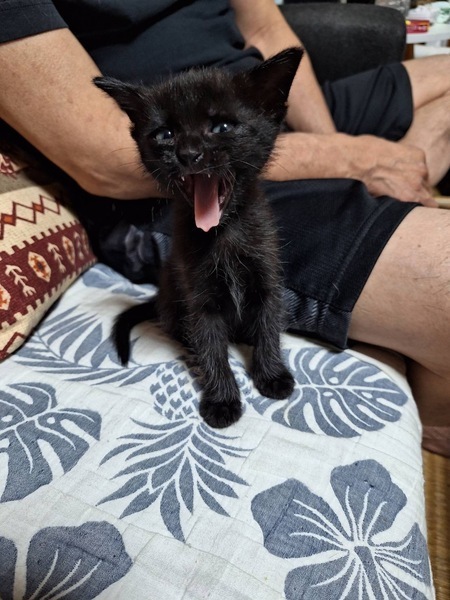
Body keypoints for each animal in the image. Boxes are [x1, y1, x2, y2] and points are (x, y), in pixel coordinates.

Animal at [94, 47, 303, 428]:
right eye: (165, 134)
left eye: (221, 127)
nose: (189, 154)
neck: (223, 233)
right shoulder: (199, 297)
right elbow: (211, 347)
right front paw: (222, 400)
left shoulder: (267, 276)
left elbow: (268, 326)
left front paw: (271, 375)